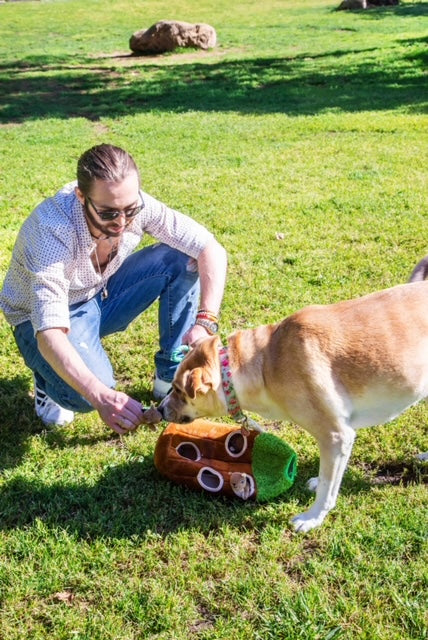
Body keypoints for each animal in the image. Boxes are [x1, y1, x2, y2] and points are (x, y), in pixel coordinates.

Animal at [160, 280, 428, 528]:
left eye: (178, 390)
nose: (160, 409)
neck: (265, 364)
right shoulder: (337, 441)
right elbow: (329, 474)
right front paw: (318, 483)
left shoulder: (336, 436)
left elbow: (328, 488)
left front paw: (313, 518)